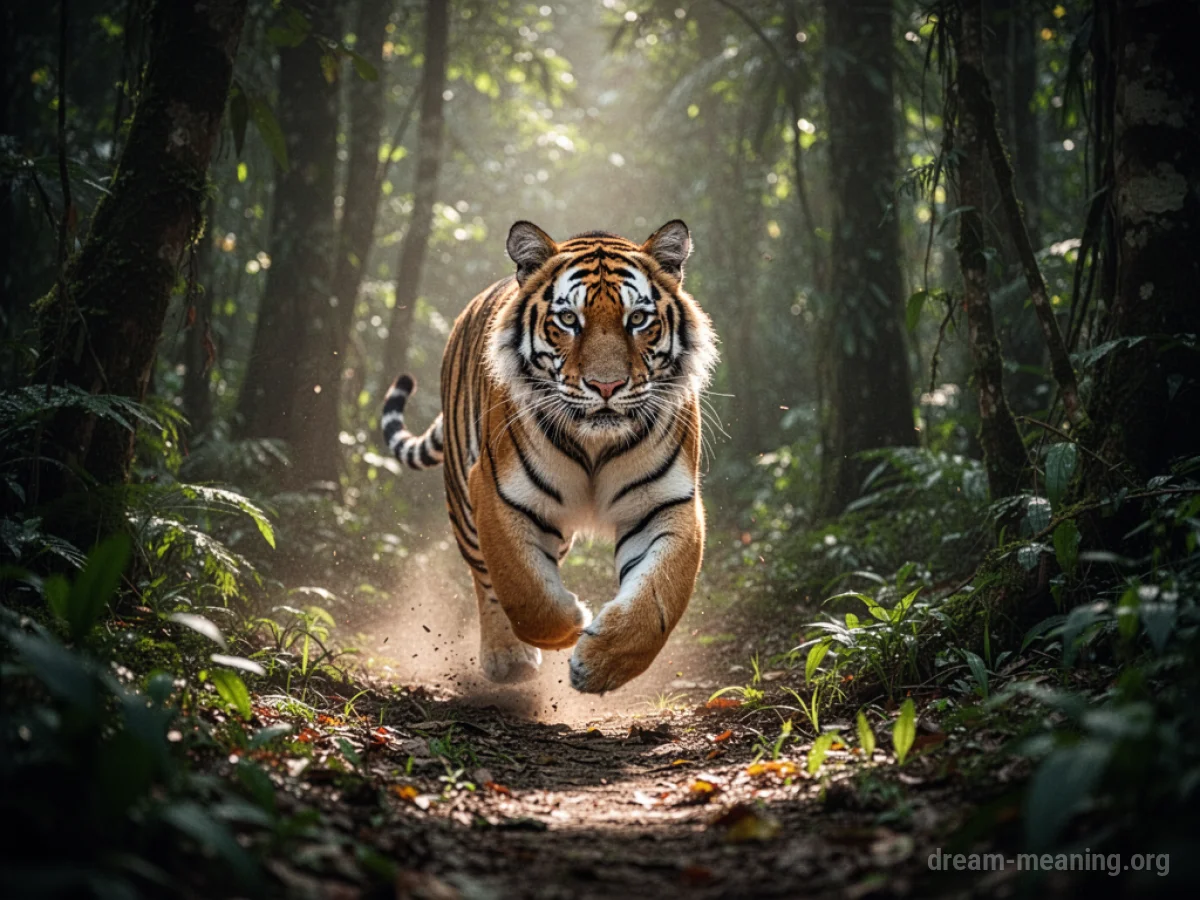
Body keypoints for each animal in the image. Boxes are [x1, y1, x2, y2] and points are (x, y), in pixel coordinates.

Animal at [380, 220, 717, 693]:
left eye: (637, 319)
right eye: (568, 320)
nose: (606, 385)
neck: (596, 445)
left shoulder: (665, 504)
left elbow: (657, 600)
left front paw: (600, 664)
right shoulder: (500, 495)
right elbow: (524, 590)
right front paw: (571, 622)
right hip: (463, 503)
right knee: (485, 577)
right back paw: (507, 657)